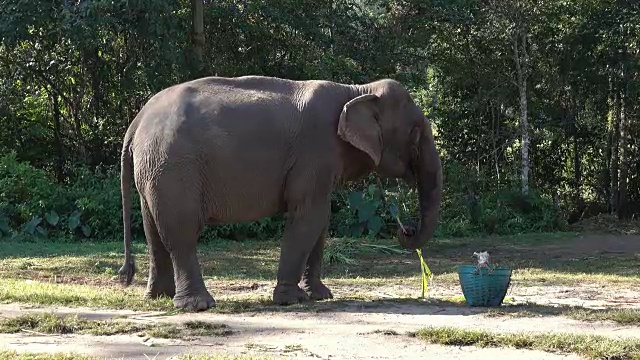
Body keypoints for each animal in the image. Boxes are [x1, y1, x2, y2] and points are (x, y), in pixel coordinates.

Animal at [117, 74, 442, 310]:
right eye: (415, 132)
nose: (406, 229)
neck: (357, 89)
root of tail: (137, 121)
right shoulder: (315, 153)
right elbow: (309, 216)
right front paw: (292, 300)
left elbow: (321, 221)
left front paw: (321, 295)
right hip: (174, 167)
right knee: (181, 231)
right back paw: (198, 305)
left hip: (154, 170)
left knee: (153, 230)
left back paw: (158, 297)